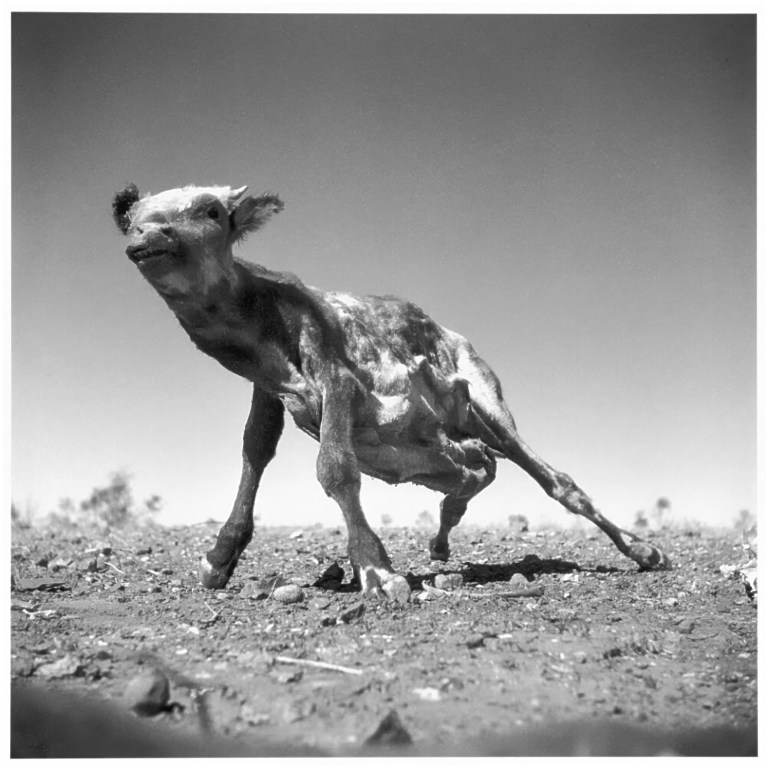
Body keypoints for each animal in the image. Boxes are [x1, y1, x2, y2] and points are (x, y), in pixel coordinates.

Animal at [112, 183, 669, 601]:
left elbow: (335, 468)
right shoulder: (269, 390)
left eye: (210, 211)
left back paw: (645, 551)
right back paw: (444, 536)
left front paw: (378, 572)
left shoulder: (335, 376)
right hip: (444, 441)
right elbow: (255, 451)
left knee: (548, 475)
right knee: (479, 464)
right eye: (132, 217)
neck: (257, 311)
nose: (148, 235)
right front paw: (218, 559)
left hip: (485, 401)